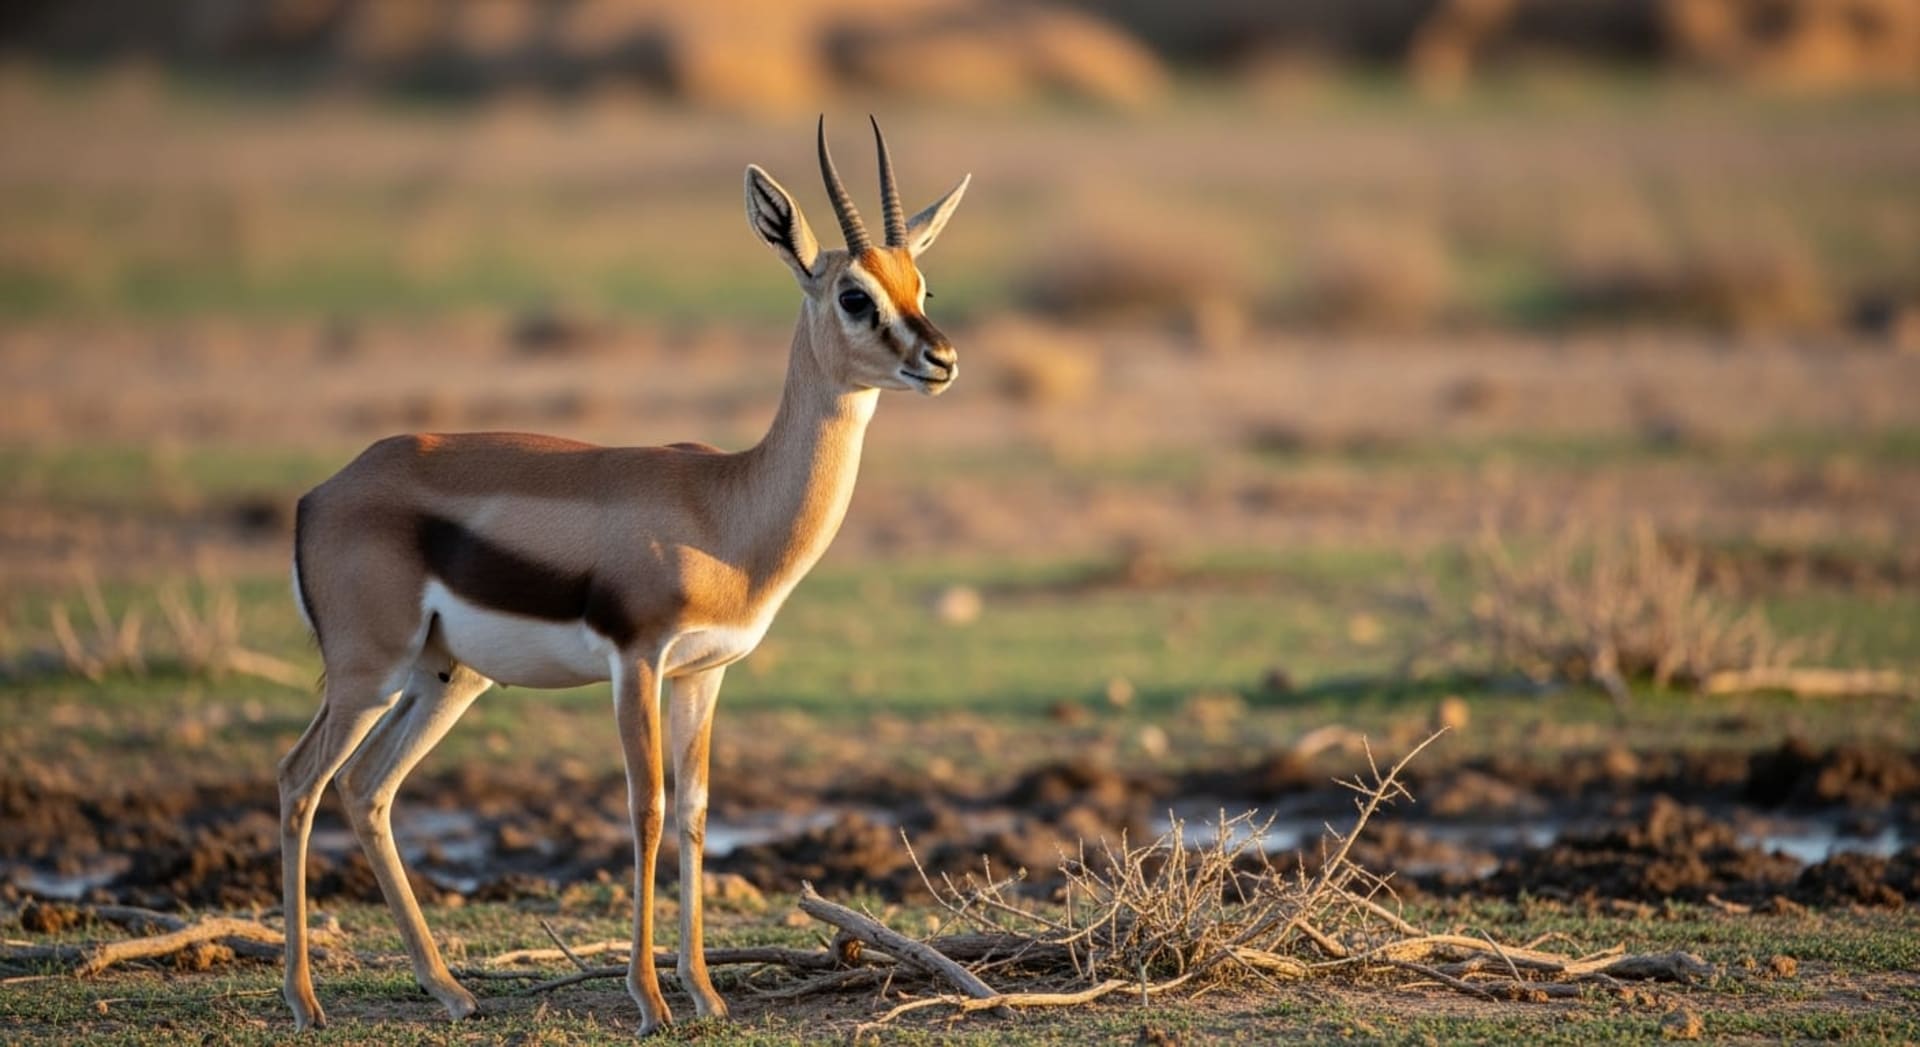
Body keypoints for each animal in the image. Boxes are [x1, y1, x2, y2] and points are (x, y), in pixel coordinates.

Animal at [278, 118, 968, 1034]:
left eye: (918, 281)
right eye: (856, 295)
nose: (942, 357)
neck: (726, 507)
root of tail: (321, 492)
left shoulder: (705, 673)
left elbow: (696, 812)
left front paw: (704, 991)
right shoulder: (636, 658)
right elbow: (646, 809)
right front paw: (650, 1001)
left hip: (446, 678)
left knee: (365, 789)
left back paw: (450, 989)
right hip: (368, 674)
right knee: (299, 782)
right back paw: (303, 998)